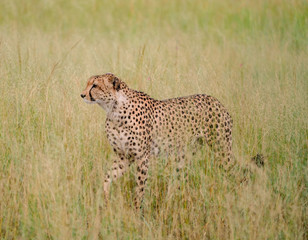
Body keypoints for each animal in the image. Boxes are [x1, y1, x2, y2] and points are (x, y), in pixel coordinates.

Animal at [80, 73, 238, 210]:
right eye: (88, 84)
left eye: (94, 85)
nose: (82, 95)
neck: (114, 109)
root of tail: (216, 101)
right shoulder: (124, 157)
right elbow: (107, 178)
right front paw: (105, 198)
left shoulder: (142, 157)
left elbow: (140, 187)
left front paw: (137, 211)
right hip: (184, 156)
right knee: (180, 180)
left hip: (222, 149)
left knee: (232, 170)